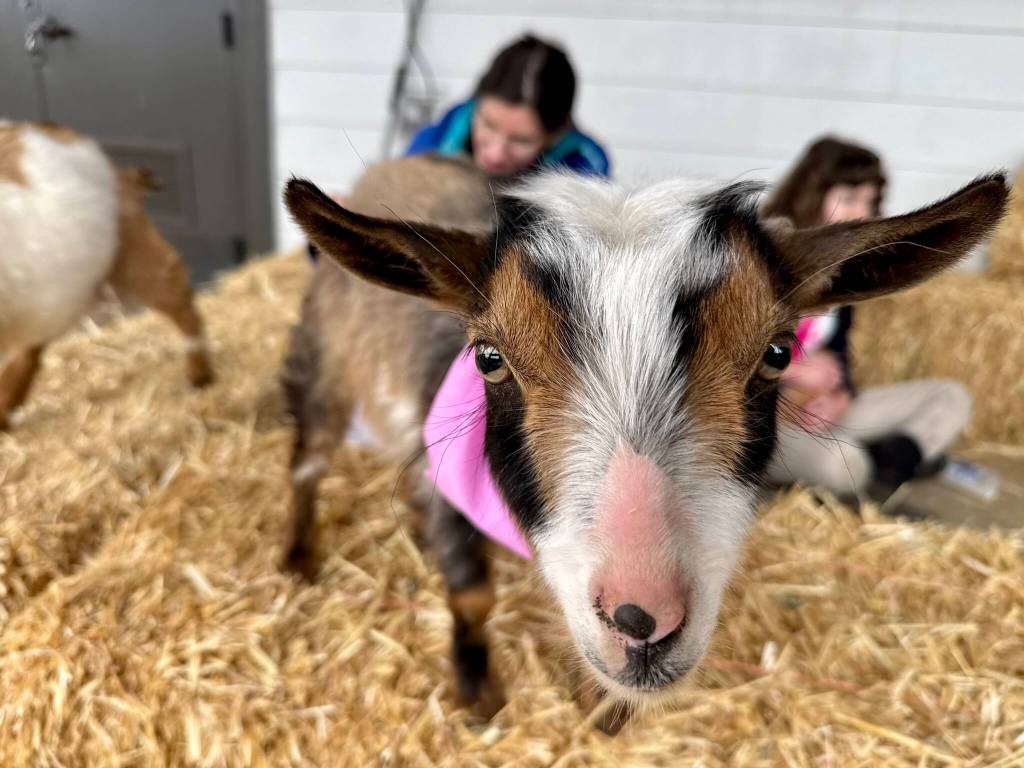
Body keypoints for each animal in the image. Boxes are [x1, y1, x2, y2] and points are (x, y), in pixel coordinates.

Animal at [282, 153, 1007, 725]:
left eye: (777, 353)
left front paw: (603, 710)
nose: (642, 621)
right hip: (324, 360)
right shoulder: (450, 476)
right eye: (489, 357)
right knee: (309, 460)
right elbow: (471, 591)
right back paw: (298, 555)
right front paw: (478, 692)